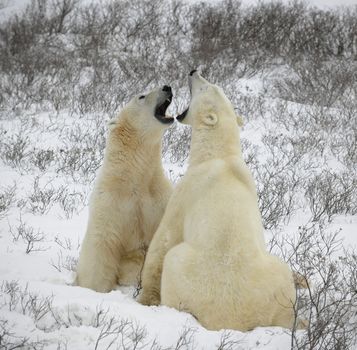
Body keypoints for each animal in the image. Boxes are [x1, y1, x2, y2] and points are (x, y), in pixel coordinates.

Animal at [76, 85, 174, 292]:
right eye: (142, 96)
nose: (167, 87)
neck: (134, 176)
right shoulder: (110, 201)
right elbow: (102, 244)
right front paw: (95, 288)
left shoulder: (159, 198)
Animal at [138, 73, 298, 330]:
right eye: (214, 85)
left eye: (206, 87)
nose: (193, 71)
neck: (219, 155)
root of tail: (227, 320)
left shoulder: (187, 189)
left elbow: (164, 239)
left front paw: (145, 296)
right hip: (277, 281)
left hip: (186, 271)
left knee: (173, 259)